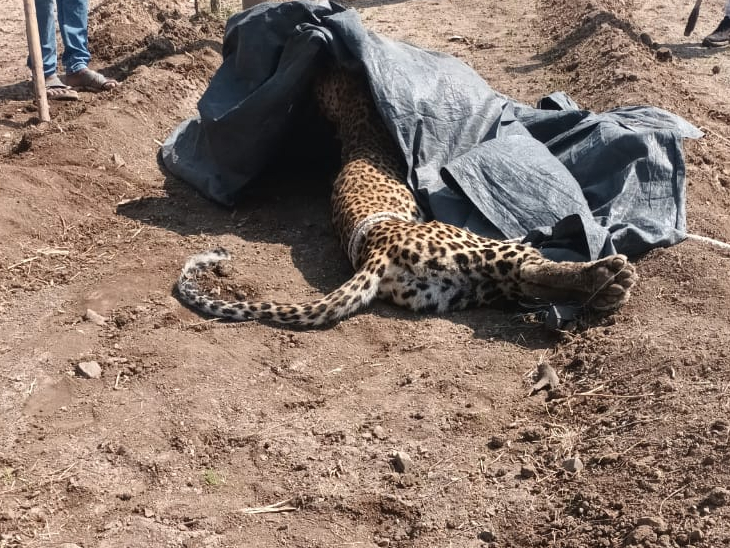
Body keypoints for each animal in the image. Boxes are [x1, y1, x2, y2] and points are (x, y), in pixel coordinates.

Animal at [177, 66, 637, 327]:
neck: (357, 125)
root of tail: (374, 255)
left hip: (460, 288)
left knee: (522, 281)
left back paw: (606, 289)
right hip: (472, 247)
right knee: (528, 265)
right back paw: (610, 274)